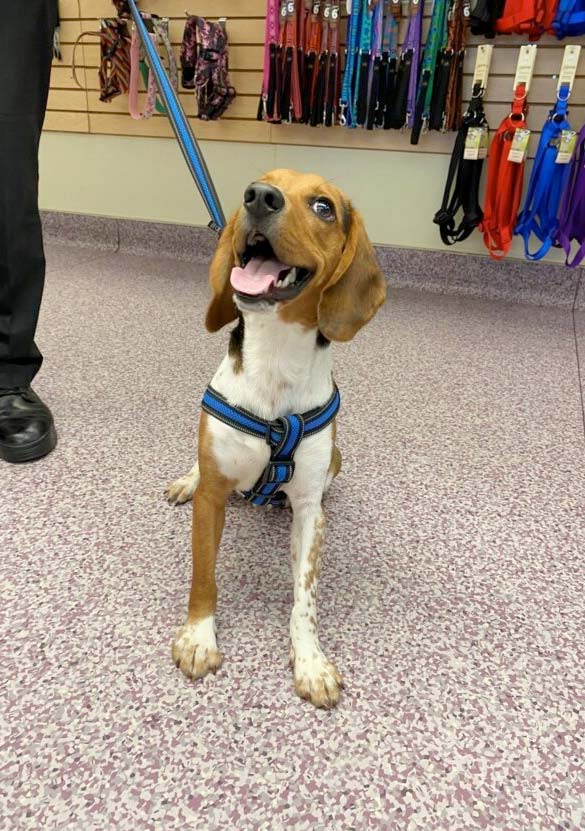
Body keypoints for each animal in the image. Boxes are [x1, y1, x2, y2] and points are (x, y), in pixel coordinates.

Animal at [167, 169, 386, 708]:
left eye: (324, 207)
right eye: (259, 184)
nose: (259, 198)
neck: (276, 361)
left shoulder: (309, 512)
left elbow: (304, 598)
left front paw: (310, 661)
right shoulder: (212, 499)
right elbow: (203, 576)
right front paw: (198, 637)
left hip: (335, 461)